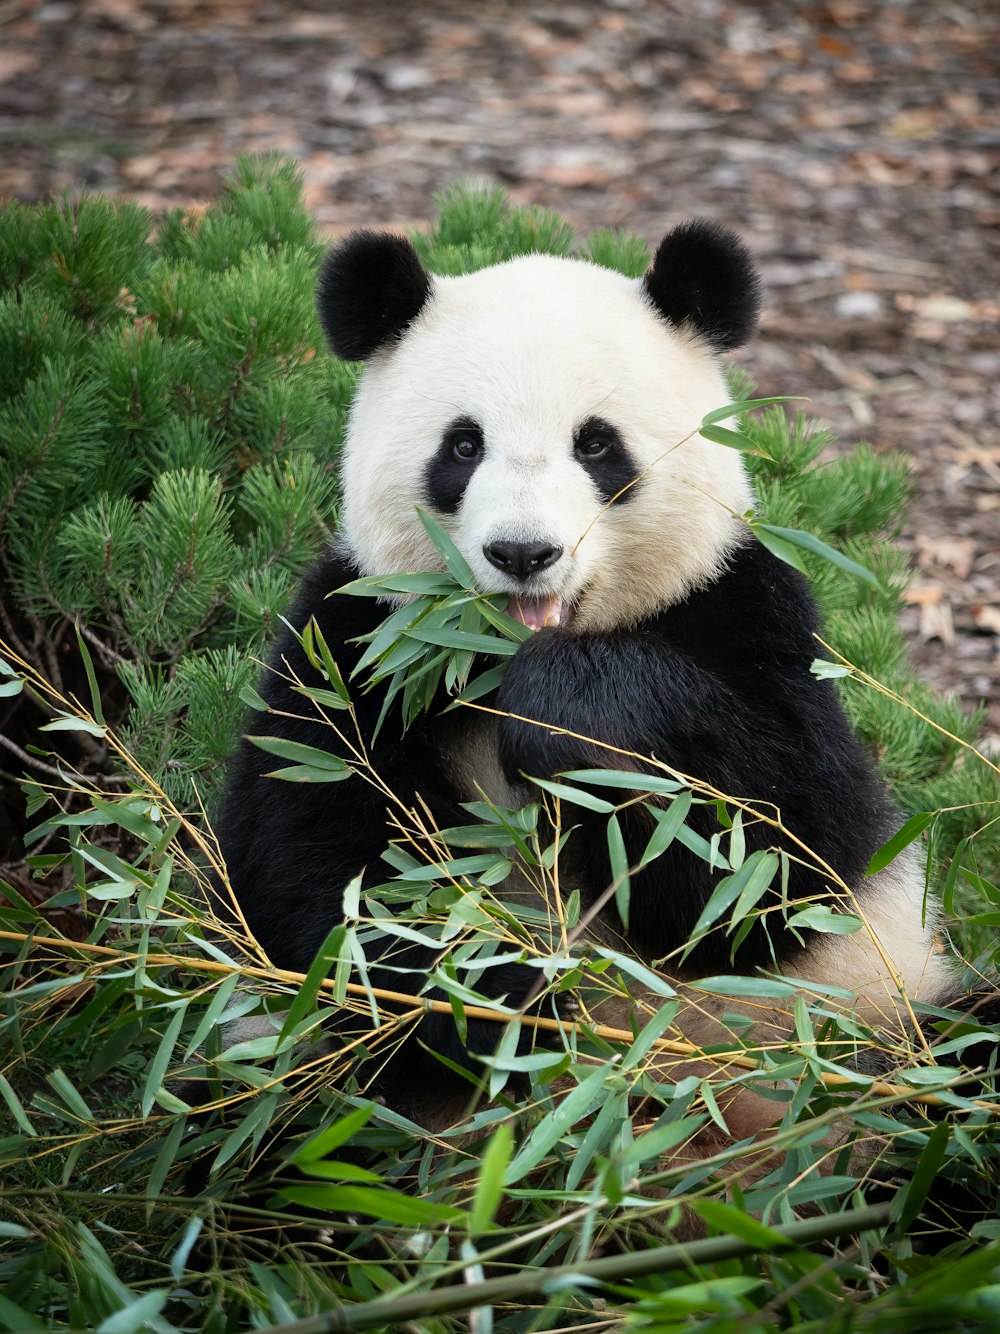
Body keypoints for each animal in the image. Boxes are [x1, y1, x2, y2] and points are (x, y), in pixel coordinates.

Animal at [216, 218, 960, 1125]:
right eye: (464, 445)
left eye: (597, 444)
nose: (522, 552)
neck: (492, 658)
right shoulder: (356, 642)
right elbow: (315, 859)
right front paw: (490, 1007)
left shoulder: (747, 611)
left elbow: (779, 856)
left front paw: (562, 713)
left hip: (886, 1020)